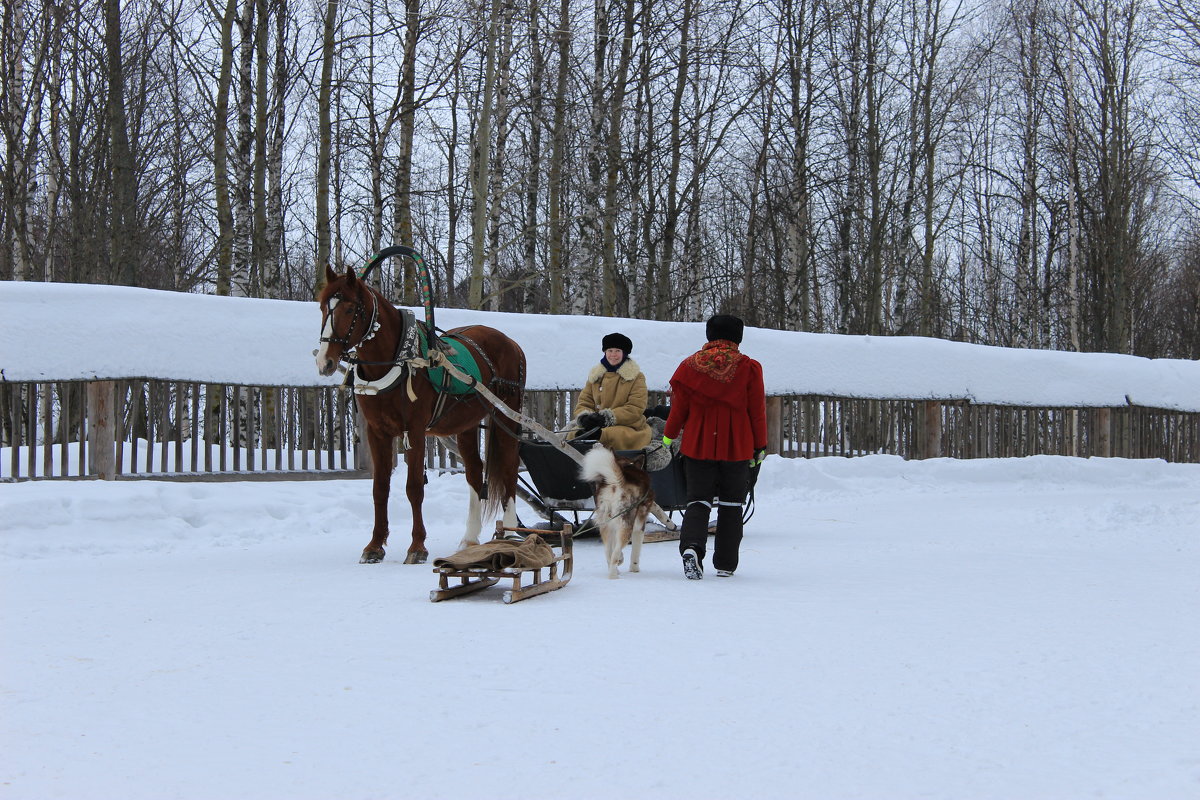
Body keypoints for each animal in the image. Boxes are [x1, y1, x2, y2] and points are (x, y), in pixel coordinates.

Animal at [314, 262, 525, 563]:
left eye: (350, 308)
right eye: (322, 306)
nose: (325, 361)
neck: (398, 360)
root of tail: (510, 342)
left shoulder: (413, 431)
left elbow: (414, 487)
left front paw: (417, 546)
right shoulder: (377, 432)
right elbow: (380, 487)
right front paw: (375, 545)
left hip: (507, 415)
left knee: (508, 468)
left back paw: (508, 532)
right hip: (466, 425)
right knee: (475, 471)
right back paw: (470, 538)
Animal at [580, 443, 657, 582]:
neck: (627, 465)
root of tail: (615, 482)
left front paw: (621, 562)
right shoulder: (639, 528)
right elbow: (635, 553)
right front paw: (634, 569)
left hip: (606, 525)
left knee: (608, 553)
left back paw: (615, 569)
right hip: (626, 526)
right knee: (614, 553)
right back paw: (613, 576)